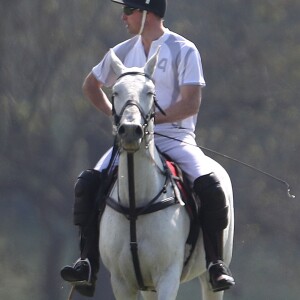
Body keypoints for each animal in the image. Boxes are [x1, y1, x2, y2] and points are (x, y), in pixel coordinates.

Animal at [99, 49, 234, 300]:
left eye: (150, 92)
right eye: (115, 92)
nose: (130, 130)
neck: (135, 205)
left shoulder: (168, 276)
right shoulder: (121, 281)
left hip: (210, 277)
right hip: (147, 287)